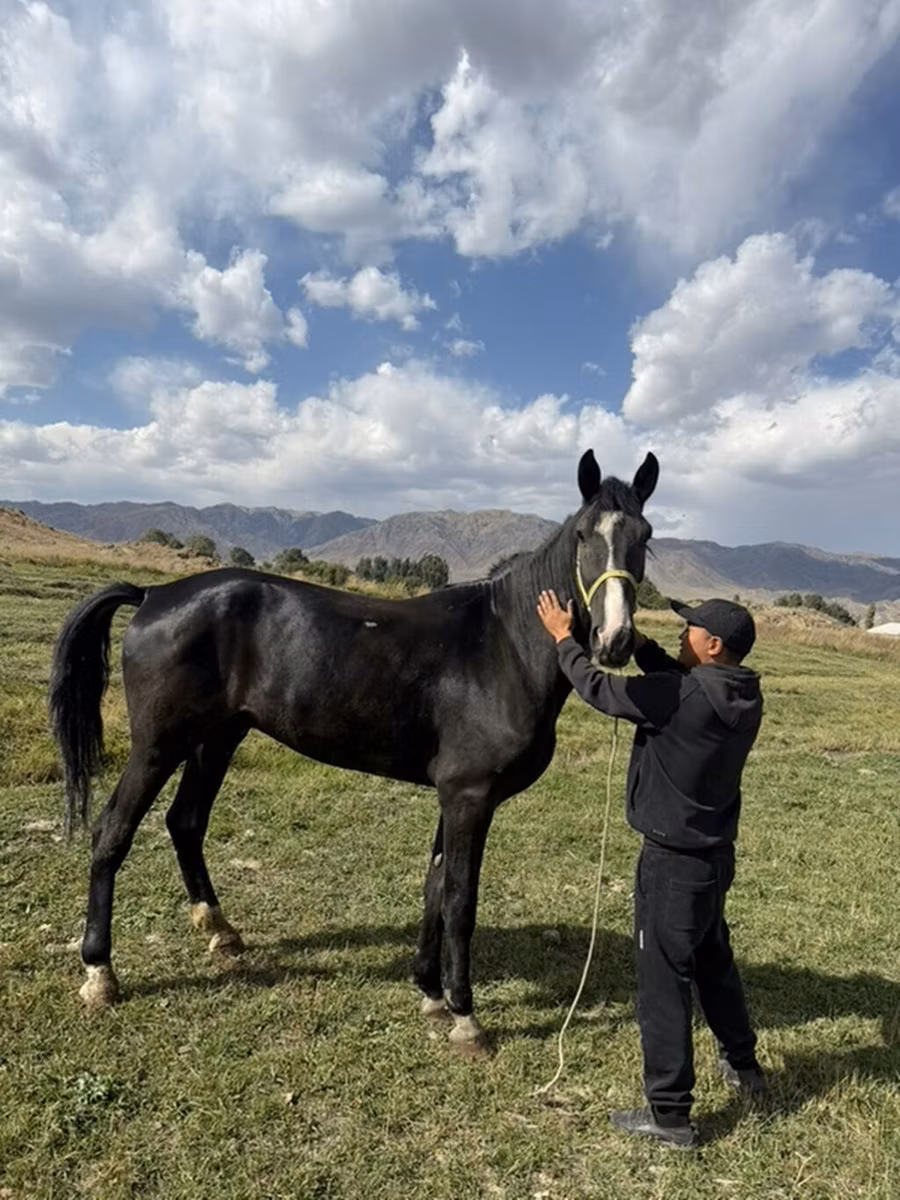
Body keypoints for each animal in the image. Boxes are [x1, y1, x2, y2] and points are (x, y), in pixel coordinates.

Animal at [49, 448, 658, 1052]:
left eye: (645, 536)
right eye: (582, 534)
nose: (615, 641)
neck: (503, 646)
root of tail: (153, 595)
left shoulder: (452, 795)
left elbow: (435, 886)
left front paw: (431, 994)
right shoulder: (470, 796)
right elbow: (460, 899)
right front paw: (466, 1017)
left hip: (217, 738)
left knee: (185, 822)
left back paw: (220, 932)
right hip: (159, 745)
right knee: (113, 832)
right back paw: (100, 973)